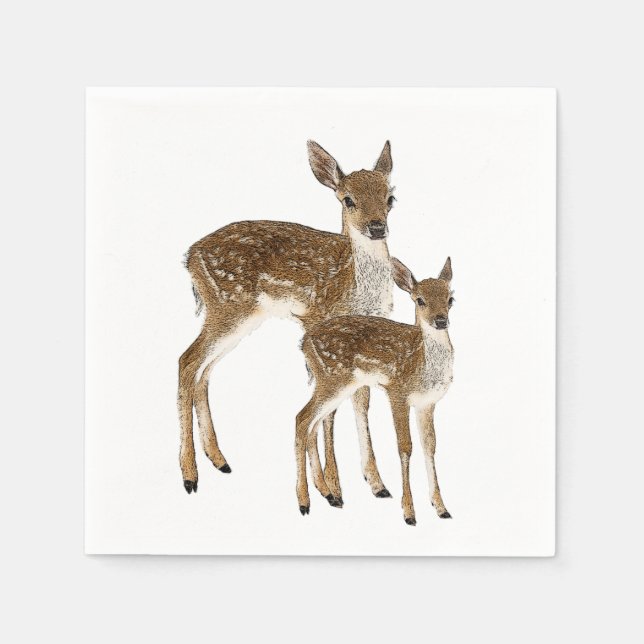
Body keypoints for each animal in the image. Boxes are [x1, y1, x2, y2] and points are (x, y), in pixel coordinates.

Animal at [178, 140, 399, 502]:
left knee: (204, 369)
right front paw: (332, 489)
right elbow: (329, 412)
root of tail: (189, 257)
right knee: (188, 361)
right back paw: (189, 476)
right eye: (347, 199)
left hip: (237, 317)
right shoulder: (319, 320)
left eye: (390, 198)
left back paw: (219, 460)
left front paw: (377, 484)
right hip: (229, 307)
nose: (377, 226)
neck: (355, 285)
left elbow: (361, 401)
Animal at [297, 257, 455, 525]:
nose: (441, 320)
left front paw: (442, 508)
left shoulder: (427, 403)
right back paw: (304, 502)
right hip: (332, 379)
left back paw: (329, 495)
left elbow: (430, 447)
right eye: (419, 299)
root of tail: (304, 343)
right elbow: (405, 447)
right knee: (302, 418)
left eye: (451, 299)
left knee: (314, 423)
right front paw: (409, 513)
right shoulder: (397, 392)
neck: (421, 363)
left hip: (336, 384)